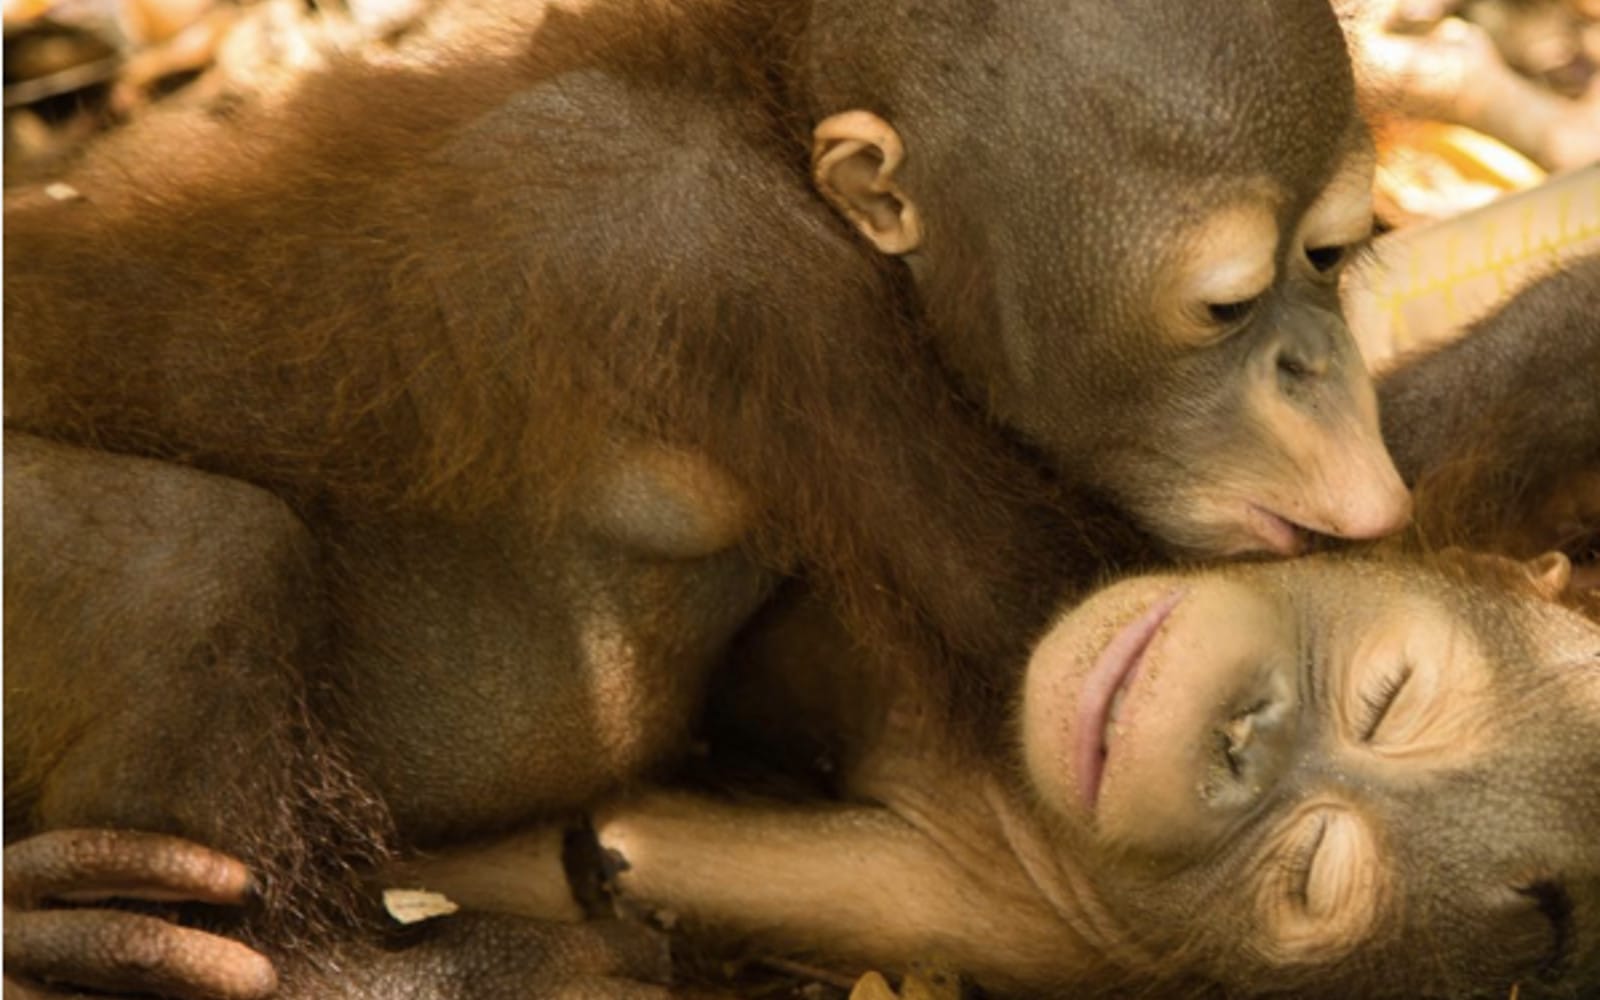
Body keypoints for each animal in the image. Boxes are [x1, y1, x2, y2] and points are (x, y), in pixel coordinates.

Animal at [4, 0, 1412, 994]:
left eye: (1330, 253)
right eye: (1227, 306)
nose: (1314, 363)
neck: (768, 108)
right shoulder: (742, 270)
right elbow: (1041, 639)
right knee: (189, 554)